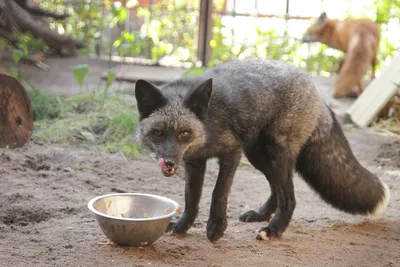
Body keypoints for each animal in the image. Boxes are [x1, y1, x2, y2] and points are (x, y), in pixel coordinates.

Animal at [134, 58, 388, 243]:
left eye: (184, 134)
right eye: (158, 133)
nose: (169, 163)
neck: (207, 125)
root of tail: (316, 92)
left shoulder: (232, 153)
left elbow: (218, 193)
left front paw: (216, 227)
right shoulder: (194, 161)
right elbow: (191, 197)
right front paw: (182, 226)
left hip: (272, 153)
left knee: (289, 197)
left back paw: (274, 229)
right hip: (260, 156)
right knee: (278, 190)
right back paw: (261, 215)